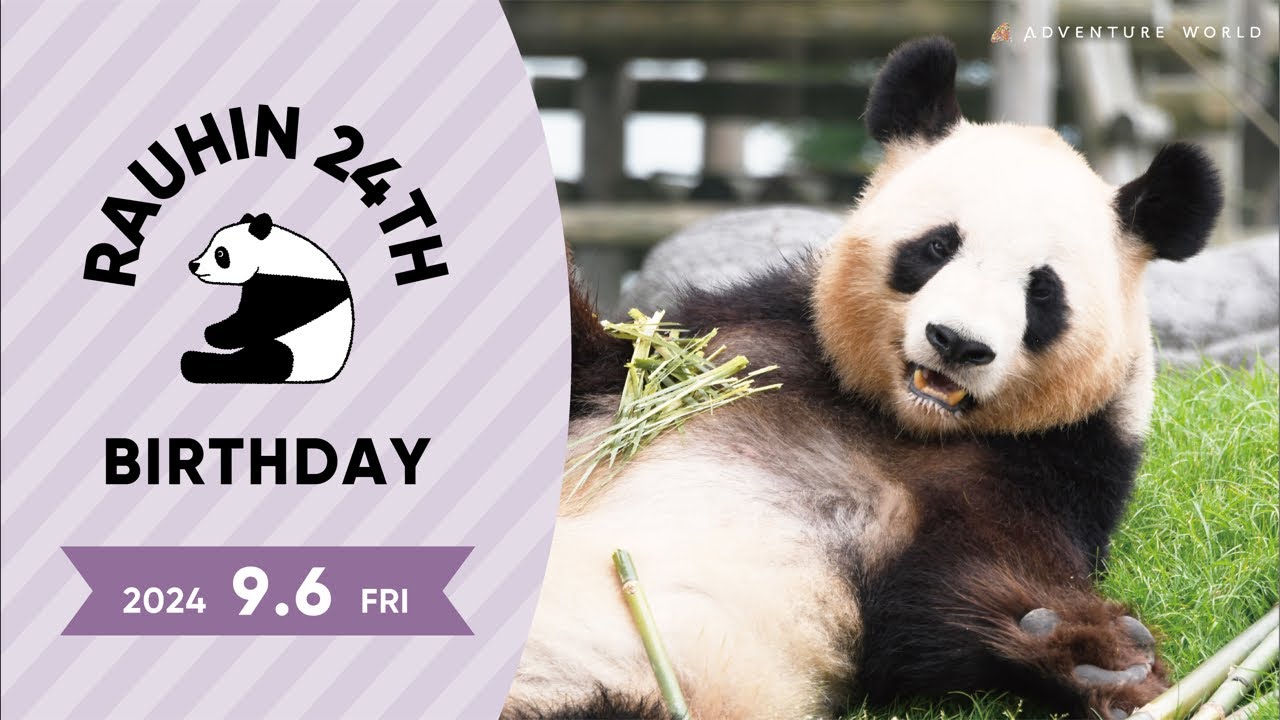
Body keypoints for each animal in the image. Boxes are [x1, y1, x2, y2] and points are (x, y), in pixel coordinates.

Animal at [181, 213, 354, 384]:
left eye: (220, 253)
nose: (193, 265)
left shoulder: (297, 289)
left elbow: (260, 320)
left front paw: (215, 334)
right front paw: (214, 330)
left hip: (296, 352)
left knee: (261, 360)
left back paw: (192, 362)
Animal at [505, 38, 1223, 720]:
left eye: (1042, 291)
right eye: (937, 246)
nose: (956, 342)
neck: (893, 419)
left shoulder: (1048, 470)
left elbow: (951, 594)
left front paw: (1101, 661)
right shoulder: (733, 342)